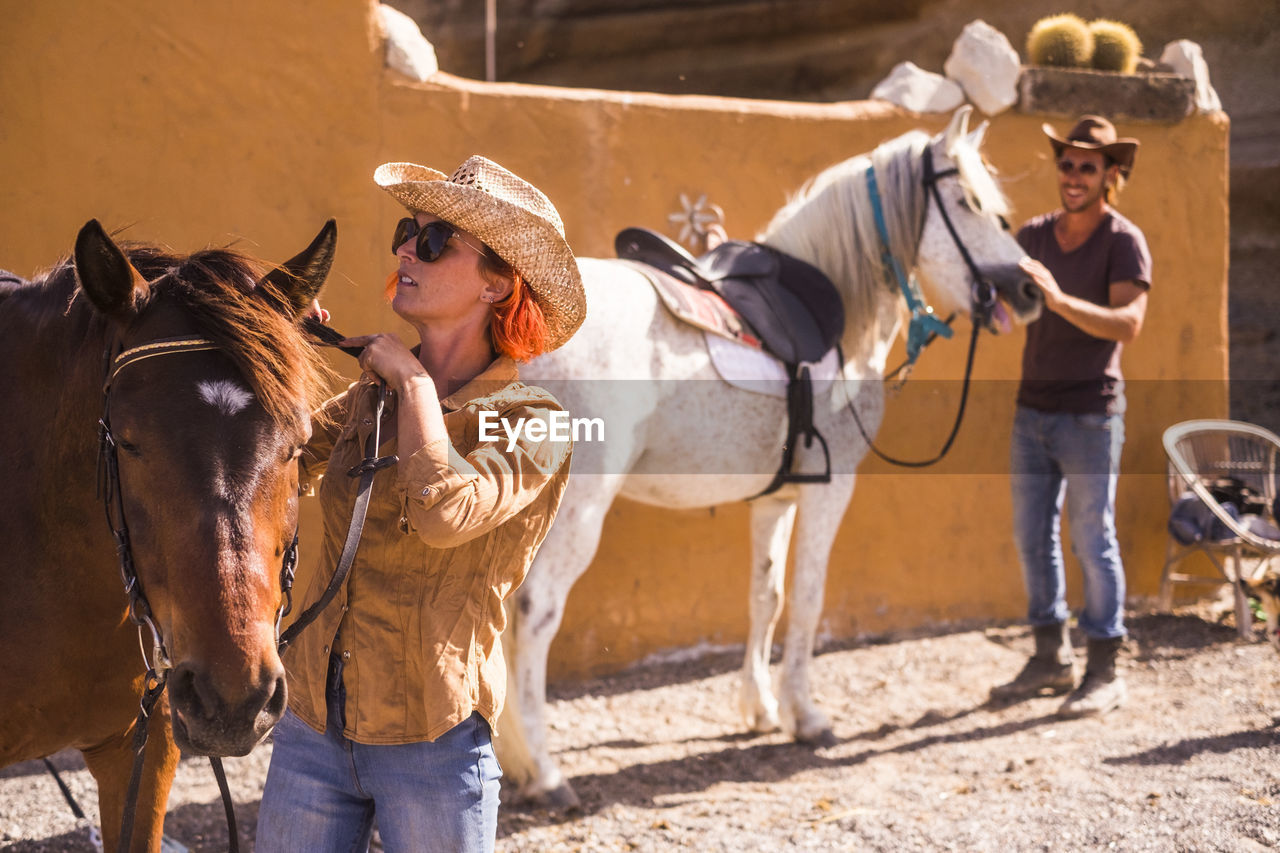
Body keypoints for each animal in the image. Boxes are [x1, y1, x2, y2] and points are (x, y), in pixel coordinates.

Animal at [496, 106, 1039, 804]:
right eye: (969, 202)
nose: (1028, 290)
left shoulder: (776, 498)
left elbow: (767, 595)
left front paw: (758, 709)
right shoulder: (830, 489)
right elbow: (807, 597)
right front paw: (804, 715)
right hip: (577, 510)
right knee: (534, 614)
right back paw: (544, 771)